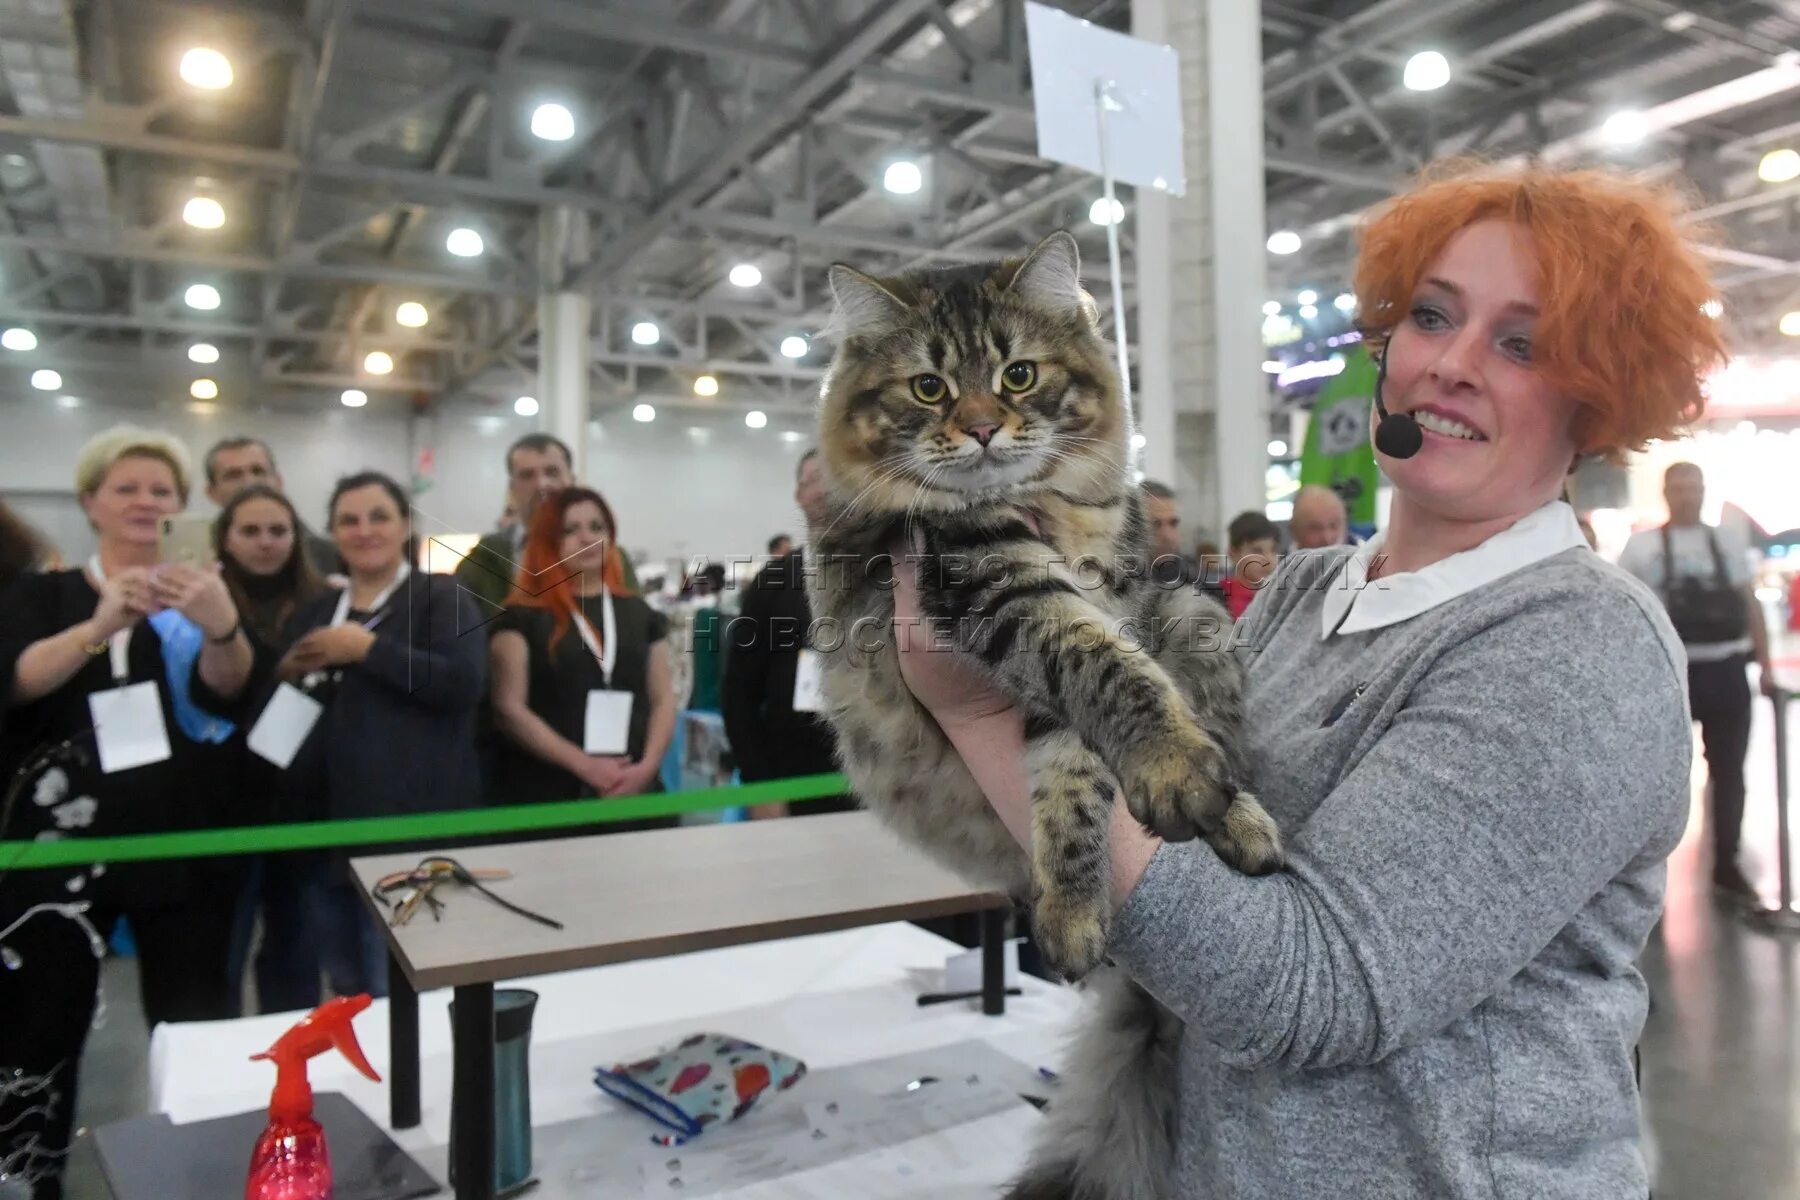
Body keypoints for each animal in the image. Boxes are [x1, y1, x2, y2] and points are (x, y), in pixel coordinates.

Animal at [810, 230, 1288, 1194]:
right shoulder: (998, 587)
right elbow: (1101, 695)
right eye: (930, 387)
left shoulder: (1125, 606)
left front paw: (1162, 810)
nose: (983, 426)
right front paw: (1080, 901)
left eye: (1019, 374)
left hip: (1196, 613)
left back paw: (1244, 819)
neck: (1053, 518)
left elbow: (1094, 750)